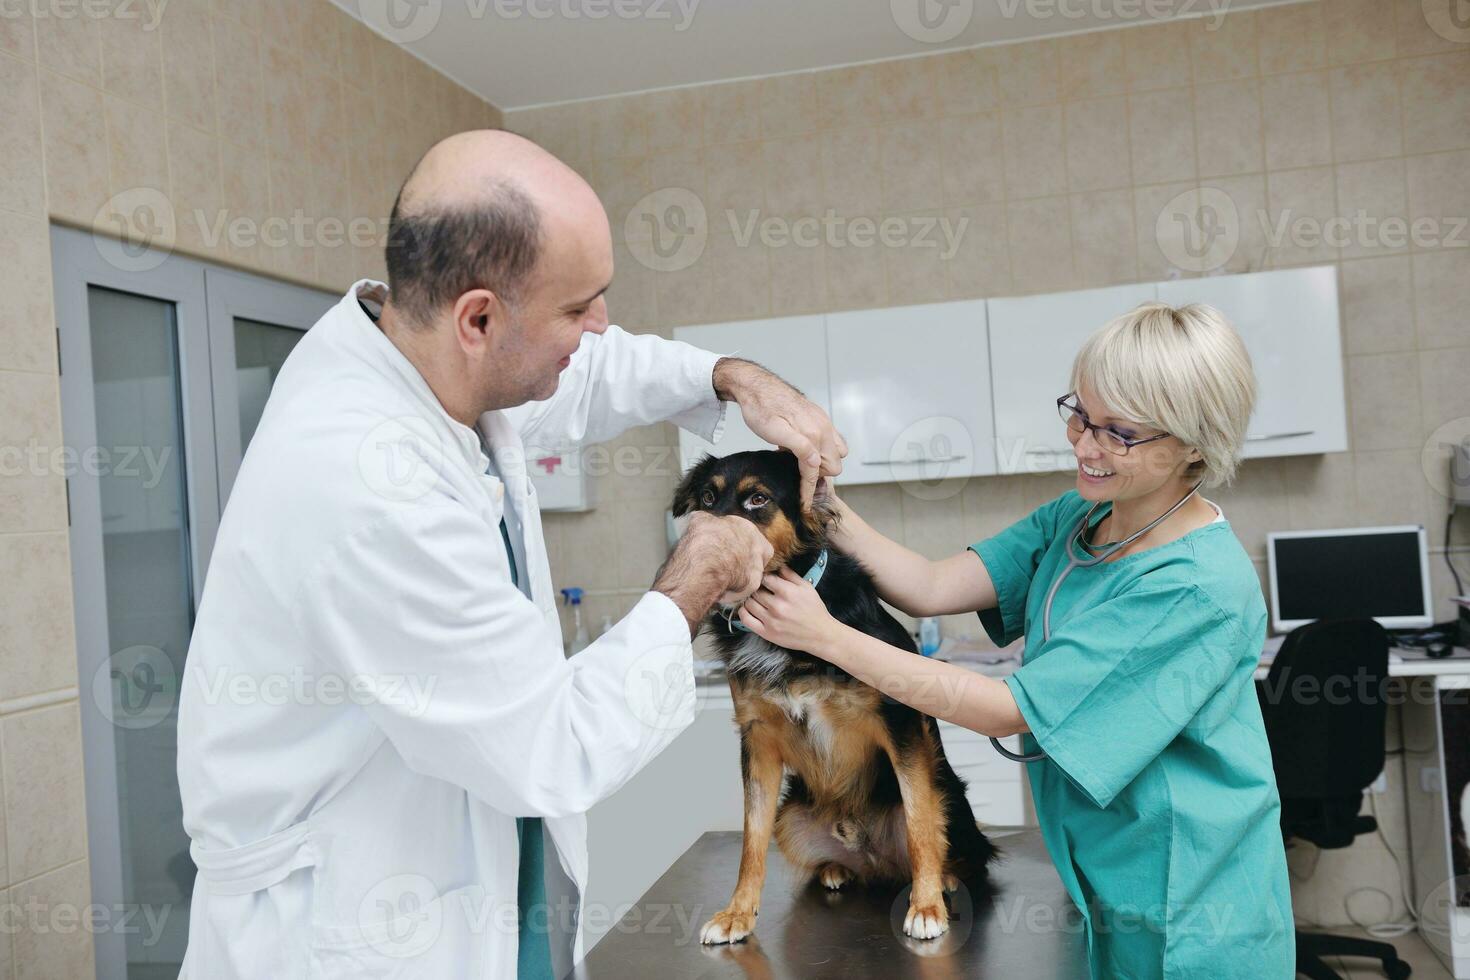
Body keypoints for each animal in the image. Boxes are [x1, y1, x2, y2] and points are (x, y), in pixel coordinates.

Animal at [670, 449, 993, 940]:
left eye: (757, 499)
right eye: (707, 498)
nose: (708, 551)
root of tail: (874, 855)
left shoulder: (900, 721)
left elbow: (920, 821)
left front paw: (926, 905)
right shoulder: (757, 738)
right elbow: (751, 838)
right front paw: (737, 913)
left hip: (949, 791)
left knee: (956, 842)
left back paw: (946, 878)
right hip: (792, 816)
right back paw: (836, 869)